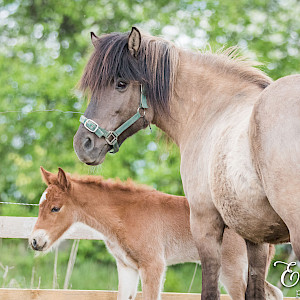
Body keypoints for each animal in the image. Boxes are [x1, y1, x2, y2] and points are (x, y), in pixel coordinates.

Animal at [29, 169, 282, 300]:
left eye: (55, 208)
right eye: (40, 205)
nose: (35, 241)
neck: (125, 215)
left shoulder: (153, 265)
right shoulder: (127, 267)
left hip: (232, 270)